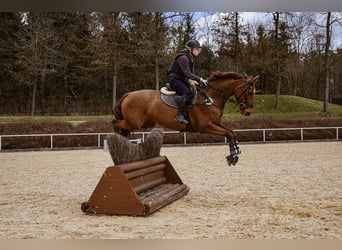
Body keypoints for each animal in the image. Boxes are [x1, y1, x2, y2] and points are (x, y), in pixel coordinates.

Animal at [112, 71, 260, 166]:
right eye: (249, 92)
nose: (248, 111)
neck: (211, 97)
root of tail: (128, 94)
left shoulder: (216, 123)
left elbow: (231, 132)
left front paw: (235, 151)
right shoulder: (206, 126)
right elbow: (228, 133)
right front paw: (233, 155)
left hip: (144, 123)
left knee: (122, 128)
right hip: (134, 122)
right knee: (116, 123)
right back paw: (116, 141)